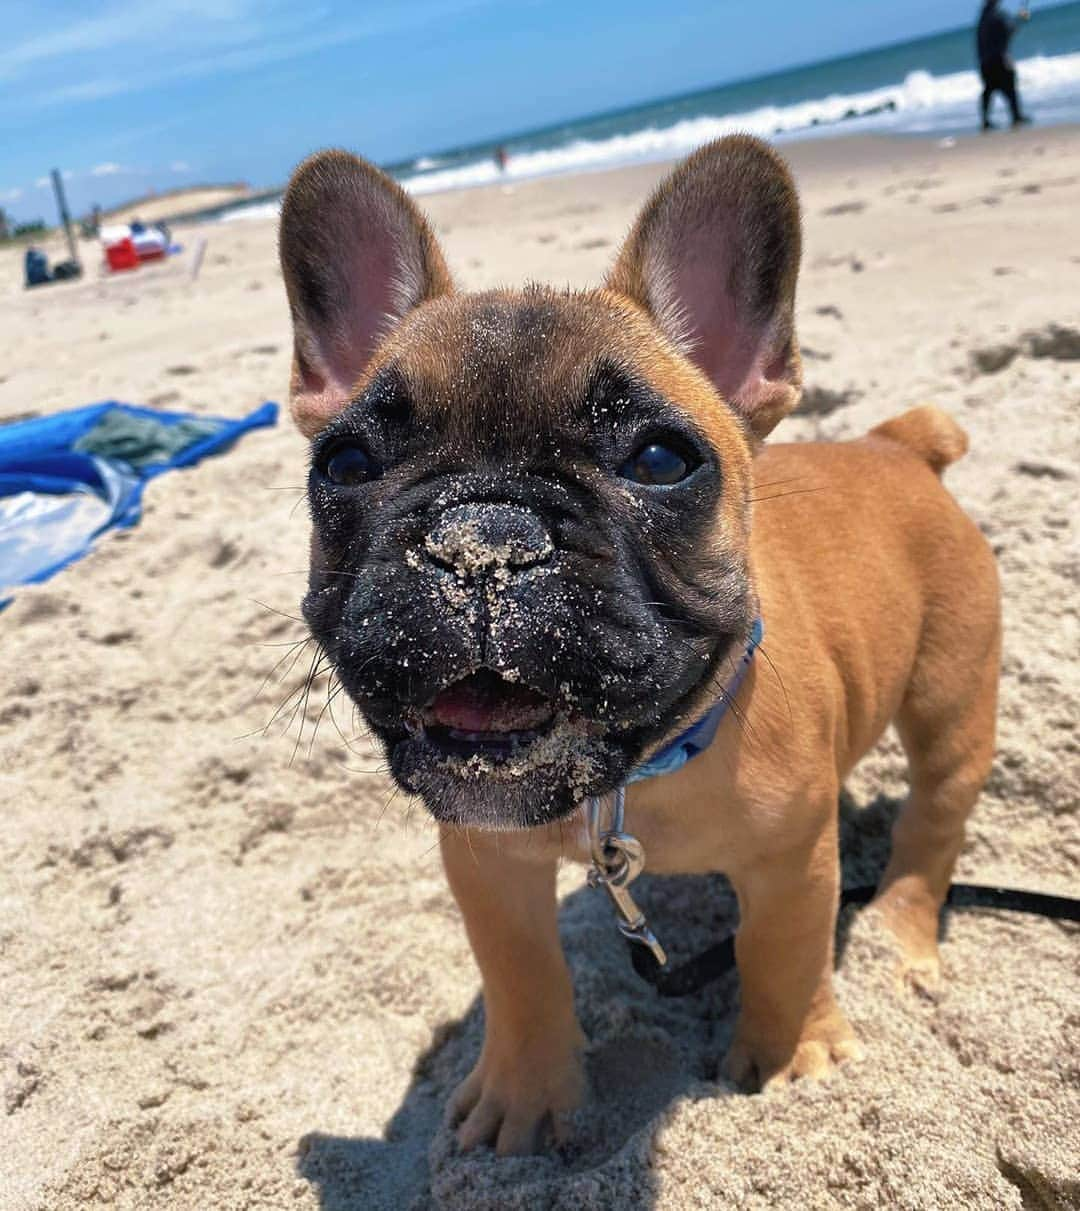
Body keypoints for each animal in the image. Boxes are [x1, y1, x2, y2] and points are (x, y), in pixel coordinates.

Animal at [276, 132, 997, 1152]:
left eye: (659, 460)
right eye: (345, 464)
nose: (483, 538)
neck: (633, 778)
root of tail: (900, 445)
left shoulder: (792, 861)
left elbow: (781, 953)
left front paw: (789, 1063)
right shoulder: (489, 861)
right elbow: (520, 973)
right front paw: (524, 1095)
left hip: (952, 697)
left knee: (934, 814)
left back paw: (899, 928)